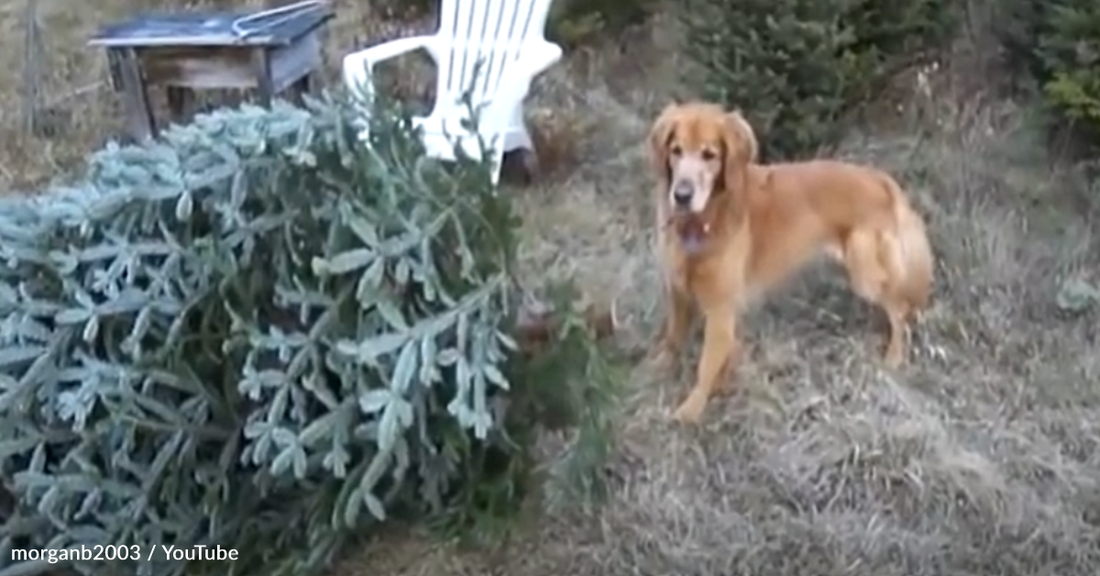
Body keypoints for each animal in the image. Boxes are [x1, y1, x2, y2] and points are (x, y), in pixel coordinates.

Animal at [646, 101, 932, 422]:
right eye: (676, 150)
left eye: (709, 155)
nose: (681, 195)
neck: (706, 218)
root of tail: (881, 180)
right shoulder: (679, 292)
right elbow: (674, 337)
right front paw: (661, 368)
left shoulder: (720, 308)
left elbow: (707, 364)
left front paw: (691, 409)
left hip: (865, 272)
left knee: (900, 310)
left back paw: (894, 357)